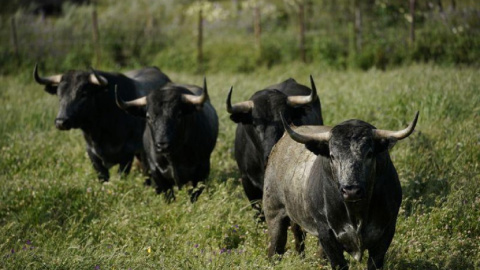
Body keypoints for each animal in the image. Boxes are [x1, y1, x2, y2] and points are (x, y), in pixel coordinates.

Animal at [264, 112, 418, 270]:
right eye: (332, 156)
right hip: (274, 214)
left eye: (369, 154)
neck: (357, 213)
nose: (351, 191)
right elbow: (338, 263)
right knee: (276, 249)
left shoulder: (387, 231)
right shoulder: (326, 232)